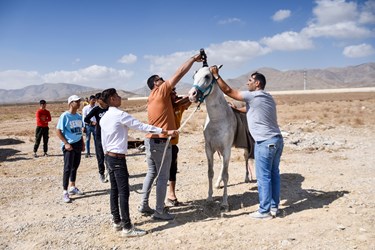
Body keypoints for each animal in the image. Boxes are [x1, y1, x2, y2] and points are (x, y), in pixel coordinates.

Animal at [188, 63, 256, 210]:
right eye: (194, 76)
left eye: (207, 76)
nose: (192, 95)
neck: (217, 119)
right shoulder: (209, 149)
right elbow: (210, 172)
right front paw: (209, 198)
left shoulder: (226, 149)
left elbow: (226, 175)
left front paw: (225, 202)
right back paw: (218, 183)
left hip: (244, 147)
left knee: (246, 158)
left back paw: (248, 177)